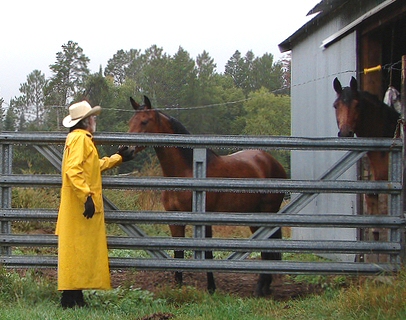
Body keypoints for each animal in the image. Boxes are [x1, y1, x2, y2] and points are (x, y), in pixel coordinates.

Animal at [127, 95, 286, 298]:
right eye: (130, 121)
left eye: (144, 121)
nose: (125, 150)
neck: (186, 172)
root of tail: (272, 162)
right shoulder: (174, 219)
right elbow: (178, 252)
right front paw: (178, 287)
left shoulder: (205, 220)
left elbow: (208, 253)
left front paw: (211, 288)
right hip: (254, 216)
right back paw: (265, 287)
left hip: (267, 213)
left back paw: (260, 289)